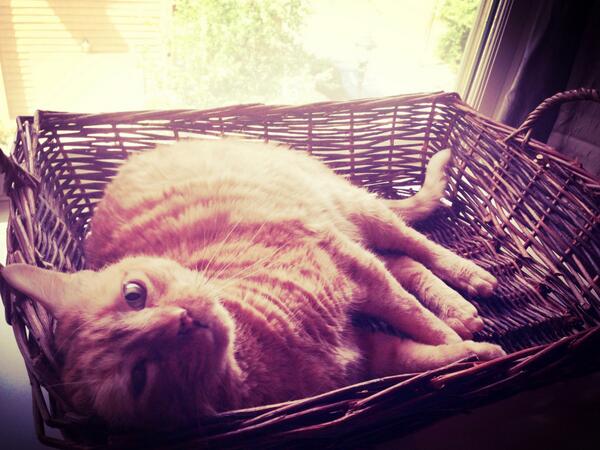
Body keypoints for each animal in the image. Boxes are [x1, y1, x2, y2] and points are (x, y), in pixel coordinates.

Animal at [2, 138, 504, 428]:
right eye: (139, 376)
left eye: (134, 294)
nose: (181, 320)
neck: (262, 340)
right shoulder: (368, 356)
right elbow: (421, 358)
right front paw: (471, 354)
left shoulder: (352, 268)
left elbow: (417, 319)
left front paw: (471, 347)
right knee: (402, 261)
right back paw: (460, 306)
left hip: (354, 212)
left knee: (414, 246)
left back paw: (466, 286)